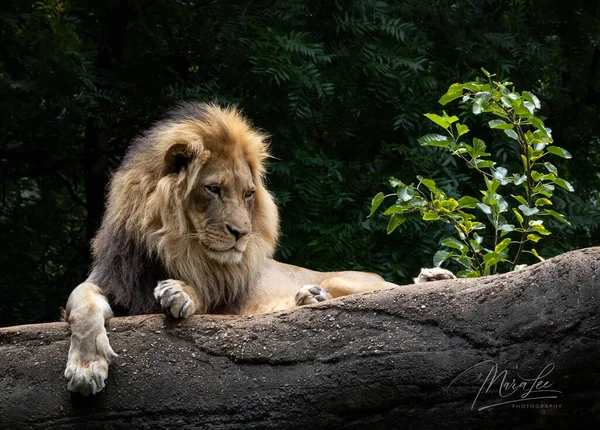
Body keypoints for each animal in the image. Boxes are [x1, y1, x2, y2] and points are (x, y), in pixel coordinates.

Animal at [63, 102, 454, 394]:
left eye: (249, 193)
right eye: (214, 189)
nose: (242, 233)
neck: (173, 246)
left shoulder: (228, 301)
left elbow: (204, 296)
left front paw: (179, 293)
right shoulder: (112, 281)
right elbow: (81, 304)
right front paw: (86, 367)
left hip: (348, 280)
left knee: (388, 289)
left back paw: (430, 278)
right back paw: (311, 297)